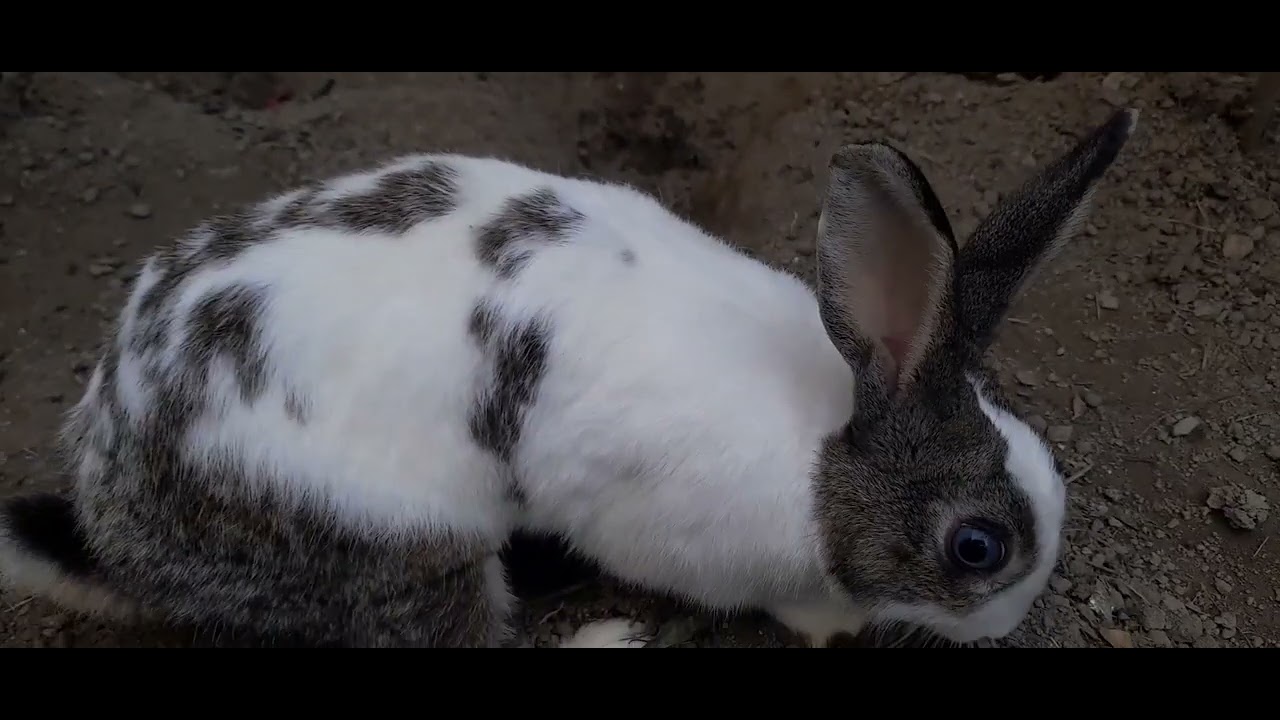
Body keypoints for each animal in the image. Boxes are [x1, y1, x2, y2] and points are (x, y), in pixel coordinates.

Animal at [0, 107, 1137, 648]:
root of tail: (120, 526)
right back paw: (606, 635)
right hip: (403, 553)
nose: (1005, 623)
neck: (827, 457)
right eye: (977, 547)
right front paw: (836, 625)